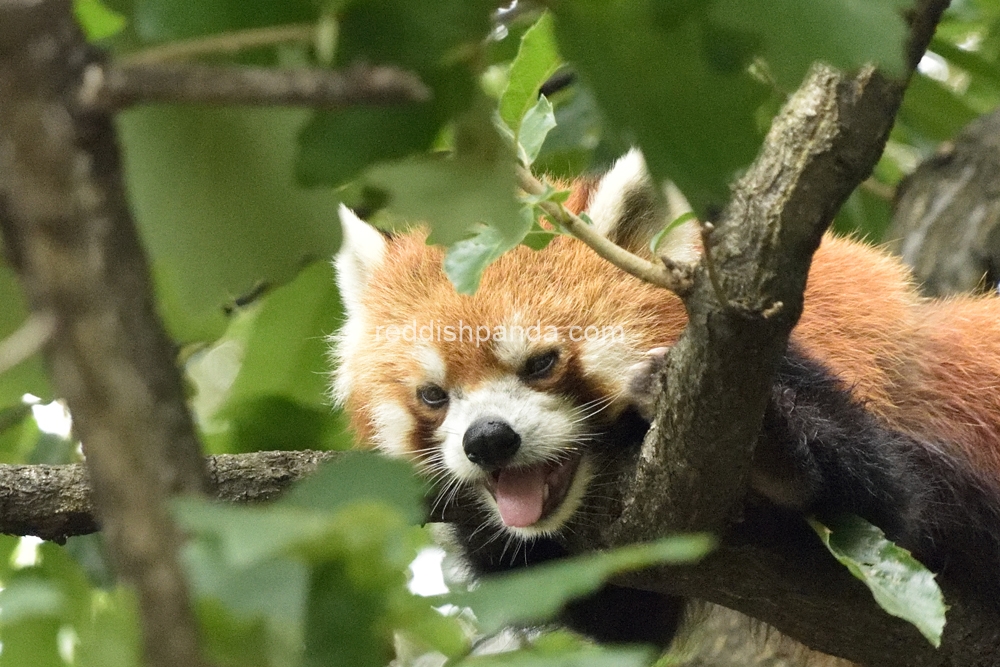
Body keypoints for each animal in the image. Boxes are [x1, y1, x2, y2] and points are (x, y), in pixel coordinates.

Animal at [332, 150, 1000, 656]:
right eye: (434, 396)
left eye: (541, 364)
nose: (488, 440)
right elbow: (629, 619)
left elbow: (895, 503)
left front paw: (775, 449)